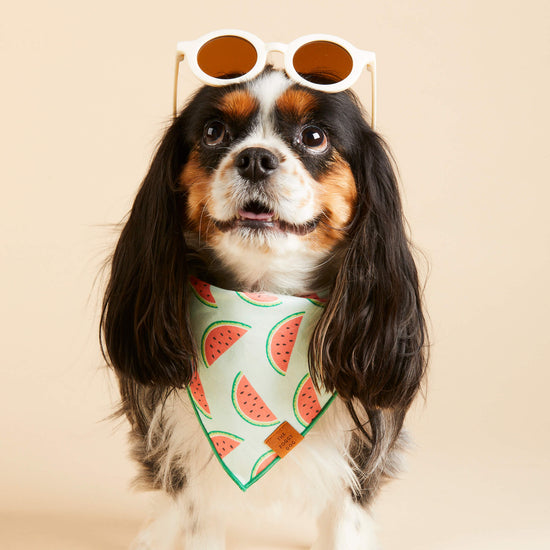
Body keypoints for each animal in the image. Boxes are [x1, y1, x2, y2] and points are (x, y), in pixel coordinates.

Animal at [101, 67, 427, 549]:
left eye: (314, 137)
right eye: (214, 132)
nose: (255, 158)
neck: (263, 298)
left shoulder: (360, 458)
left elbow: (345, 523)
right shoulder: (184, 466)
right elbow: (196, 525)